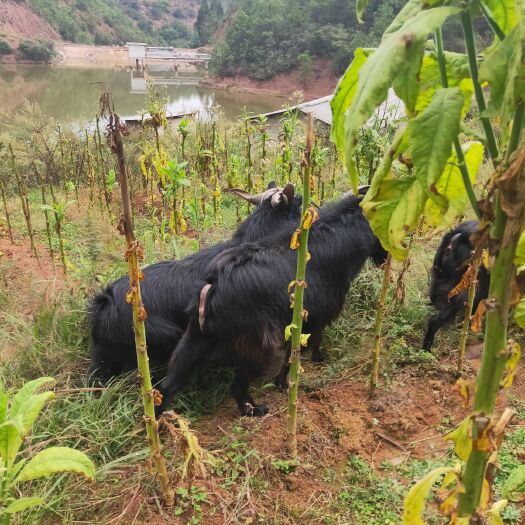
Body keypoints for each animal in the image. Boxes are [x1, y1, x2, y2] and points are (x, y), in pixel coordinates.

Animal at [156, 193, 384, 418]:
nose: (385, 259)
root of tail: (214, 285)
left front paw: (284, 381)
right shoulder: (316, 315)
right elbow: (308, 344)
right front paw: (310, 365)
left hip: (197, 339)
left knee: (167, 386)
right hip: (260, 346)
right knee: (237, 386)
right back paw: (254, 409)